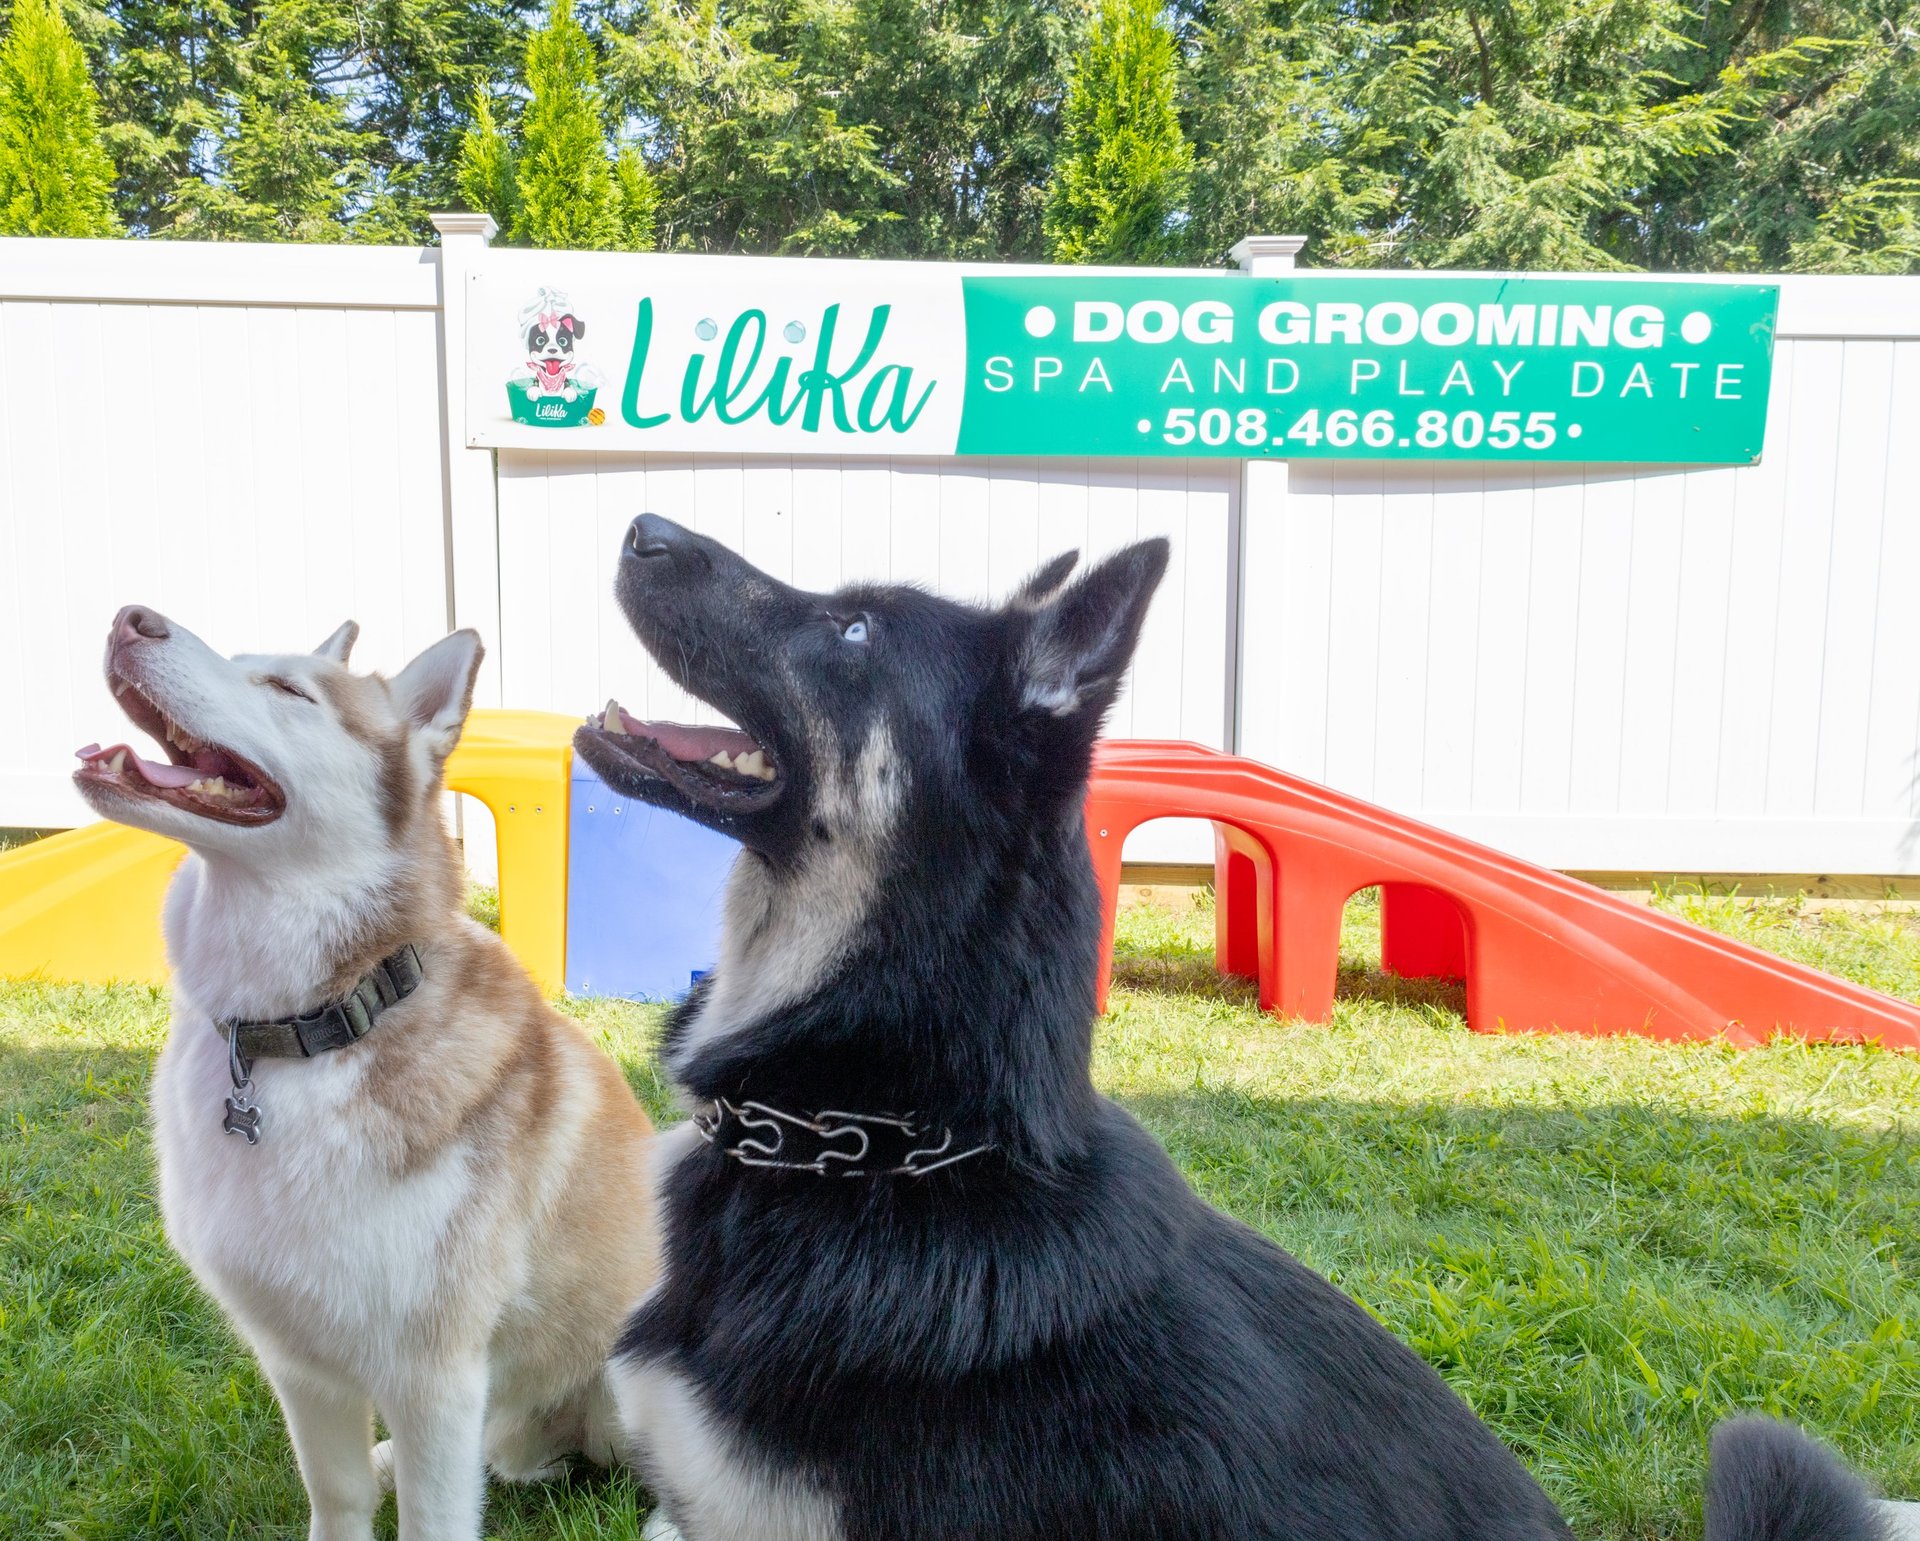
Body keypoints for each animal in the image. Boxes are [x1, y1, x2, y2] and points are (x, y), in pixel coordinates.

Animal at [76, 607, 660, 1541]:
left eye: (288, 689)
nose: (133, 619)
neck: (305, 1030)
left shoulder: (435, 1376)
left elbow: (432, 1519)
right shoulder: (299, 1361)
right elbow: (338, 1494)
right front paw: (363, 1483)